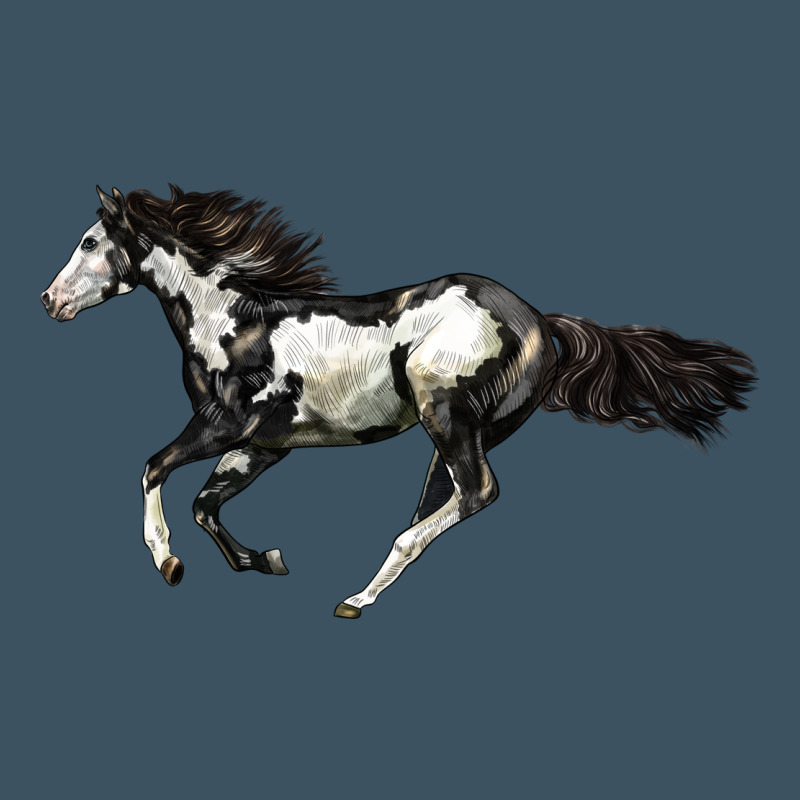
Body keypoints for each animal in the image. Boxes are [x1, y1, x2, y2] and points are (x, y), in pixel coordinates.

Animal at [41, 186, 757, 618]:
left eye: (88, 242)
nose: (48, 300)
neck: (232, 322)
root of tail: (539, 321)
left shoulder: (226, 425)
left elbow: (153, 469)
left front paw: (168, 563)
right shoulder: (264, 445)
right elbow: (204, 504)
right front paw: (265, 560)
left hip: (444, 413)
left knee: (475, 494)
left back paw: (356, 599)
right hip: (461, 433)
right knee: (445, 503)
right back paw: (361, 593)